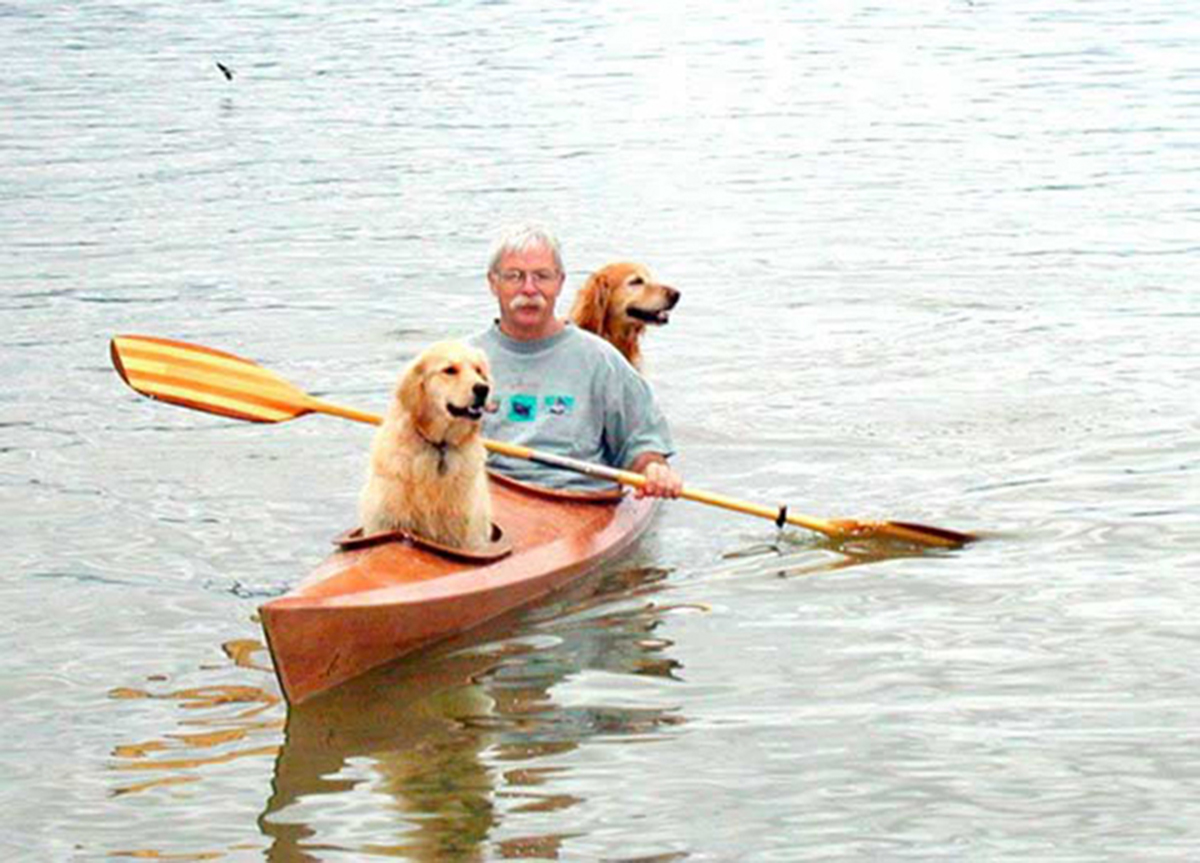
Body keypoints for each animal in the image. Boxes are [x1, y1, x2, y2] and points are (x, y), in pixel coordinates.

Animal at [355, 340, 492, 549]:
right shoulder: (386, 522)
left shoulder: (467, 538)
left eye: (478, 370)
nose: (483, 389)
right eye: (449, 370)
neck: (439, 446)